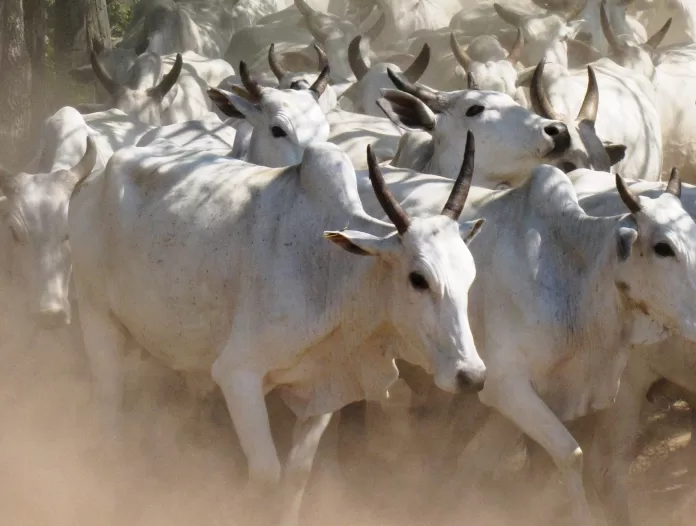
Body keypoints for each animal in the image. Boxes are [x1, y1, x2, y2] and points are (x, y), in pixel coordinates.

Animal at [68, 133, 486, 526]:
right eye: (418, 279)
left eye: (470, 275)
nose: (472, 375)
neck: (334, 274)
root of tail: (94, 177)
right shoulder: (238, 375)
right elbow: (266, 474)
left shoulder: (322, 394)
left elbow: (297, 475)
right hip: (96, 314)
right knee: (109, 406)